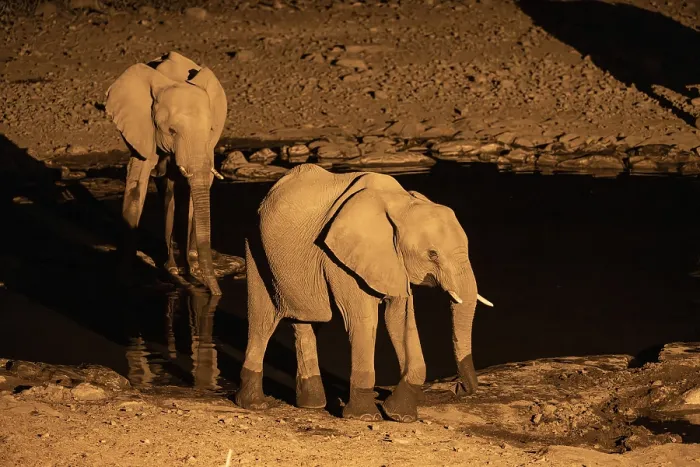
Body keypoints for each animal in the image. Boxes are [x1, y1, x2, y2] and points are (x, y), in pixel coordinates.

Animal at [105, 51, 227, 295]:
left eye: (210, 130)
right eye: (171, 131)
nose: (217, 294)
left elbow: (191, 194)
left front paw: (188, 271)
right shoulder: (143, 130)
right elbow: (136, 184)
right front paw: (124, 281)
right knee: (166, 192)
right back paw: (171, 265)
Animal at [235, 164, 493, 422]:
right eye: (433, 254)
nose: (458, 388)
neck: (400, 202)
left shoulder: (394, 261)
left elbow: (400, 320)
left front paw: (399, 415)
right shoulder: (339, 257)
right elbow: (363, 320)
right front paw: (365, 417)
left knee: (309, 320)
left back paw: (312, 405)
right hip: (255, 245)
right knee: (262, 321)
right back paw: (255, 404)